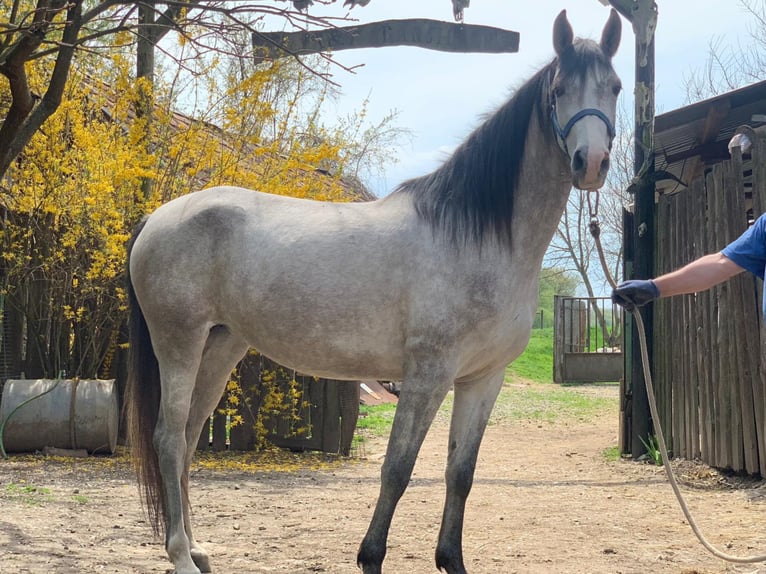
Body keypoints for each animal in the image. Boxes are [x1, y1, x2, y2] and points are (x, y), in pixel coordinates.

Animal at [123, 9, 620, 574]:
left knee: (187, 439)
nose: (591, 163)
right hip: (179, 343)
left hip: (221, 345)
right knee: (168, 439)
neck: (478, 238)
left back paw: (198, 548)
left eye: (616, 87)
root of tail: (156, 217)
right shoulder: (427, 376)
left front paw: (451, 560)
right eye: (559, 90)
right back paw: (181, 557)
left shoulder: (483, 380)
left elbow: (460, 474)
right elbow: (398, 469)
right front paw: (371, 557)